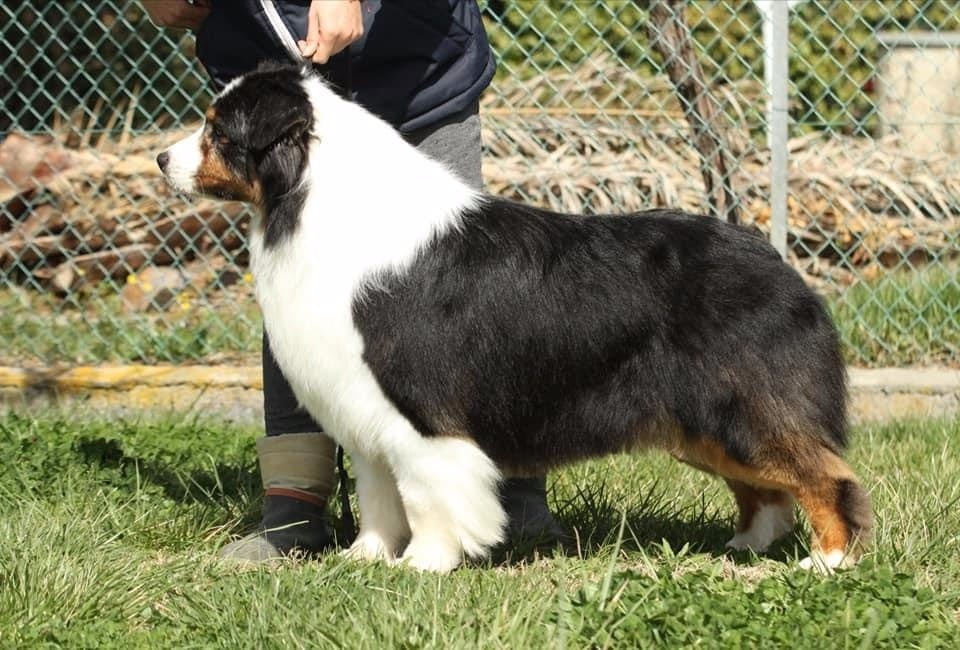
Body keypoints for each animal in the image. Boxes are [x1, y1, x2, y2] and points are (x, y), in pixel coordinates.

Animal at [158, 63, 872, 573]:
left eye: (218, 131)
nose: (161, 160)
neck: (308, 199)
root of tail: (777, 259)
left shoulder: (420, 409)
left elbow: (426, 491)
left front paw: (422, 565)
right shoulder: (365, 405)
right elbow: (378, 493)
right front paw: (362, 561)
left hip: (745, 403)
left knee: (826, 475)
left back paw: (827, 561)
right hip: (703, 422)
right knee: (765, 487)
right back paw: (745, 548)